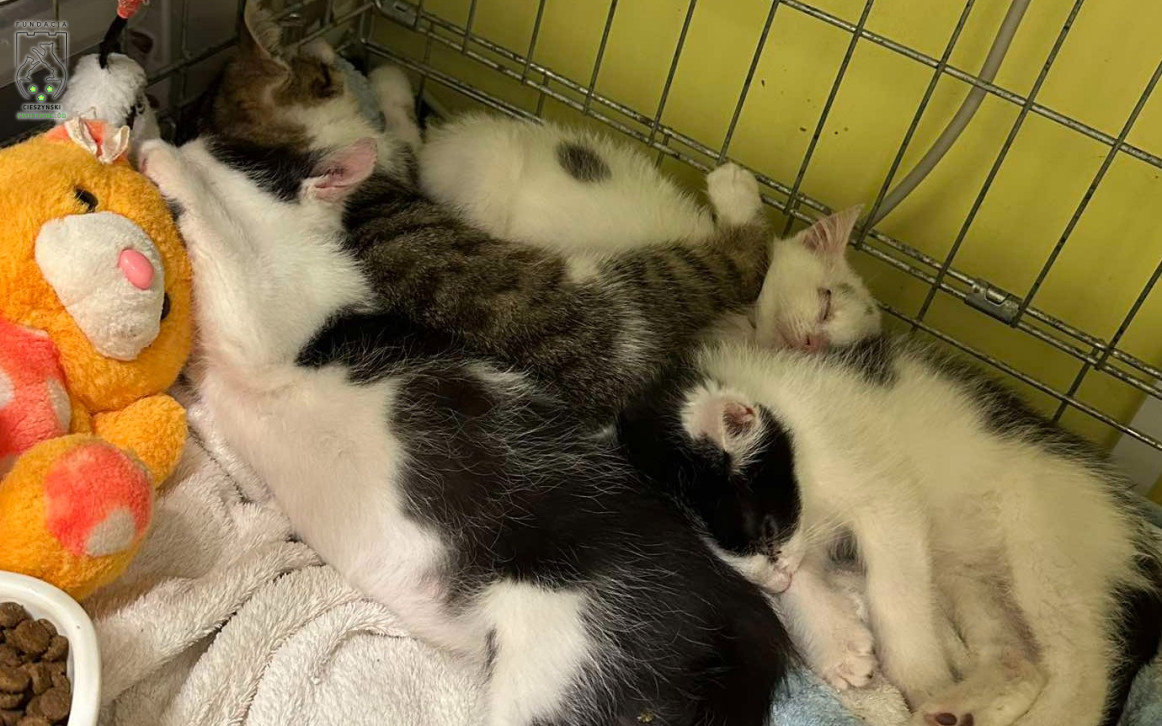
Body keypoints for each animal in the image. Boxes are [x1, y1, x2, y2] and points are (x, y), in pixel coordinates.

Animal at [619, 334, 1162, 726]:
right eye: (737, 572)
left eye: (767, 532)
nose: (776, 576)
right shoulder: (807, 534)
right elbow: (804, 579)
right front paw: (838, 646)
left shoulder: (880, 492)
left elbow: (892, 589)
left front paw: (915, 673)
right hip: (969, 573)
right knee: (1019, 660)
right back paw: (954, 709)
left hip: (1046, 543)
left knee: (1082, 669)